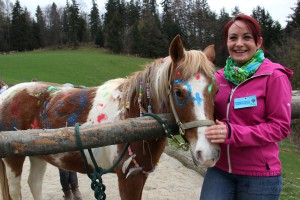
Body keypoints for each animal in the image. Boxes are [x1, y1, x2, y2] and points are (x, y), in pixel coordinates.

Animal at [0, 35, 220, 199]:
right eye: (179, 92)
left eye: (216, 90)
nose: (208, 154)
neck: (133, 118)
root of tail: (7, 94)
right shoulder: (128, 178)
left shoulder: (140, 176)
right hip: (13, 161)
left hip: (38, 155)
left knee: (34, 184)